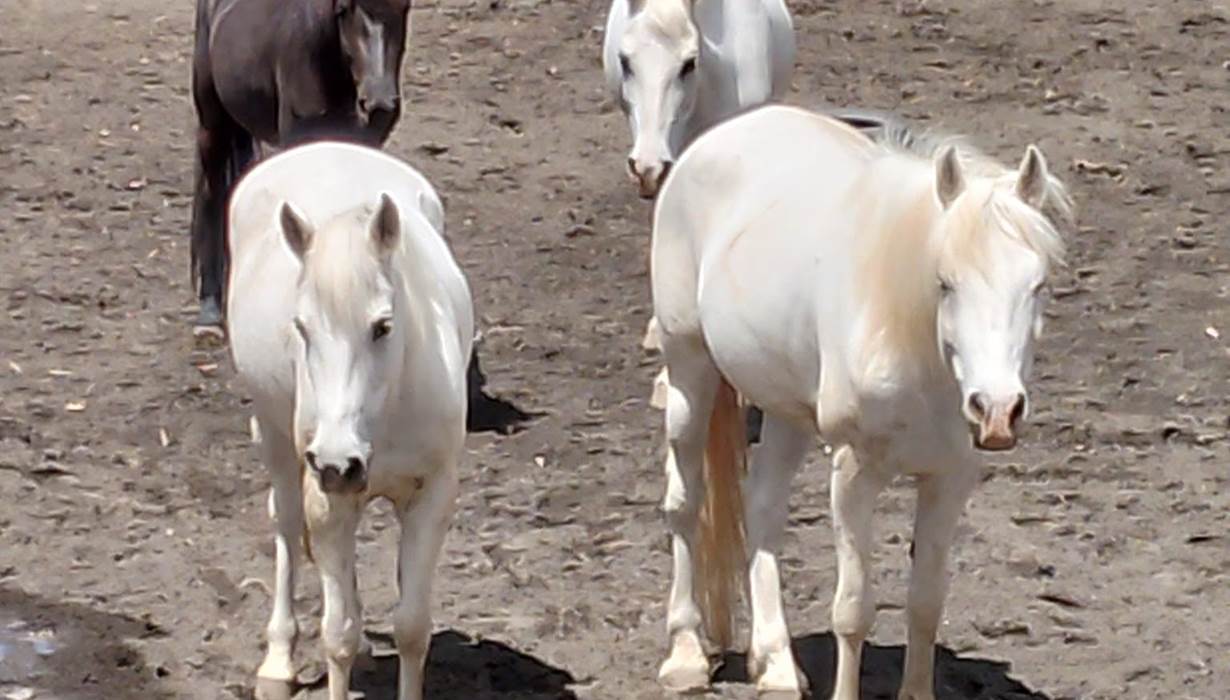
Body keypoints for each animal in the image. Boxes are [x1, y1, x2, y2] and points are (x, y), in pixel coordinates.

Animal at [191, 0, 411, 334]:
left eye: (405, 7)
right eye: (344, 8)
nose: (379, 102)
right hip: (212, 124)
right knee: (211, 193)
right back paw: (209, 310)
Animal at [226, 142, 471, 700]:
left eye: (382, 326)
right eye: (301, 327)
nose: (338, 461)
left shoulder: (432, 496)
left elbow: (411, 627)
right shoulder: (328, 496)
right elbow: (336, 634)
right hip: (278, 443)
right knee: (286, 522)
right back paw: (278, 660)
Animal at [648, 104, 1072, 699]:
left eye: (1037, 286)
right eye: (945, 283)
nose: (997, 410)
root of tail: (722, 135)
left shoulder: (950, 478)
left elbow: (926, 602)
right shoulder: (854, 474)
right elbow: (853, 611)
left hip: (785, 410)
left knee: (763, 510)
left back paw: (776, 665)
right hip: (688, 366)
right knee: (684, 502)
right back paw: (686, 655)